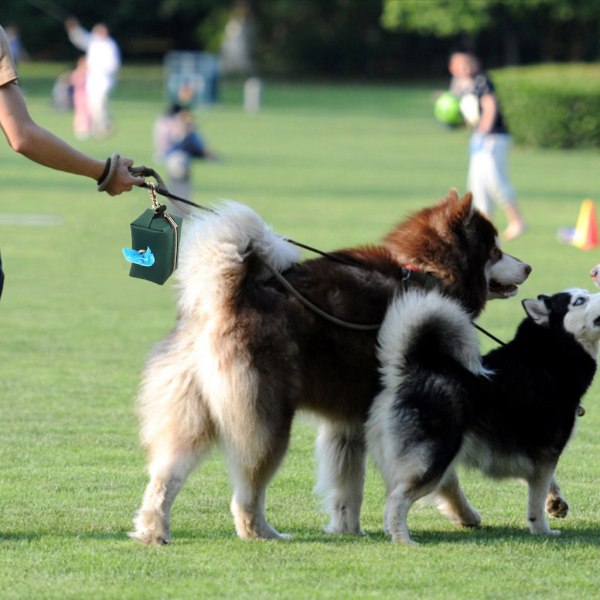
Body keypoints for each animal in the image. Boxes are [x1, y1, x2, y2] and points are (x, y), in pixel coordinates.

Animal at [130, 190, 528, 540]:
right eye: (495, 251)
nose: (528, 266)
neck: (426, 271)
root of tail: (226, 295)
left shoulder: (348, 421)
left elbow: (347, 486)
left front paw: (347, 529)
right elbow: (444, 474)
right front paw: (466, 514)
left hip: (192, 416)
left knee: (165, 477)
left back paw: (154, 530)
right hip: (268, 422)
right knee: (247, 492)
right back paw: (262, 533)